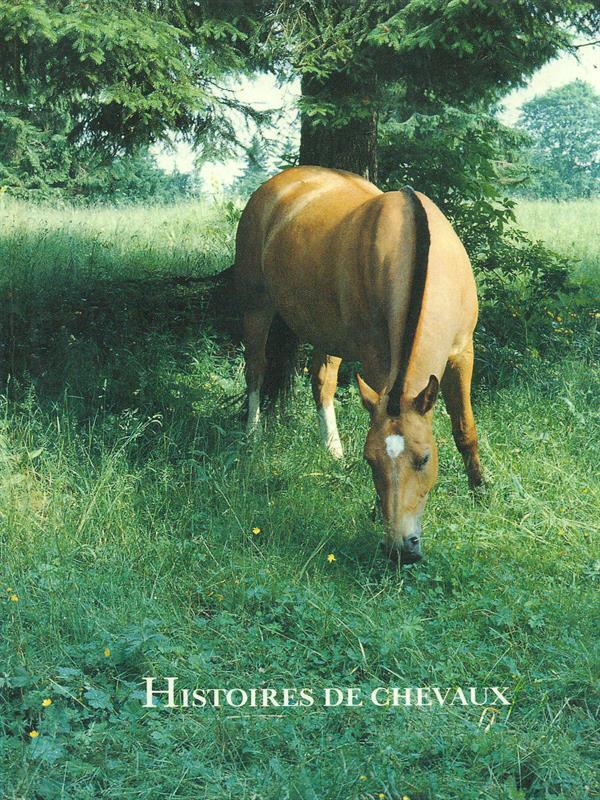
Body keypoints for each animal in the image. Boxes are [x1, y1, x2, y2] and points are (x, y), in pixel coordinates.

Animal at [232, 165, 484, 564]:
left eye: (424, 458)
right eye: (370, 461)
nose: (400, 548)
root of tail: (276, 184)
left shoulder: (462, 353)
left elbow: (465, 430)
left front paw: (480, 492)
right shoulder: (376, 358)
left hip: (326, 331)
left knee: (322, 383)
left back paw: (332, 451)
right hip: (256, 305)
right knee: (255, 370)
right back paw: (251, 438)